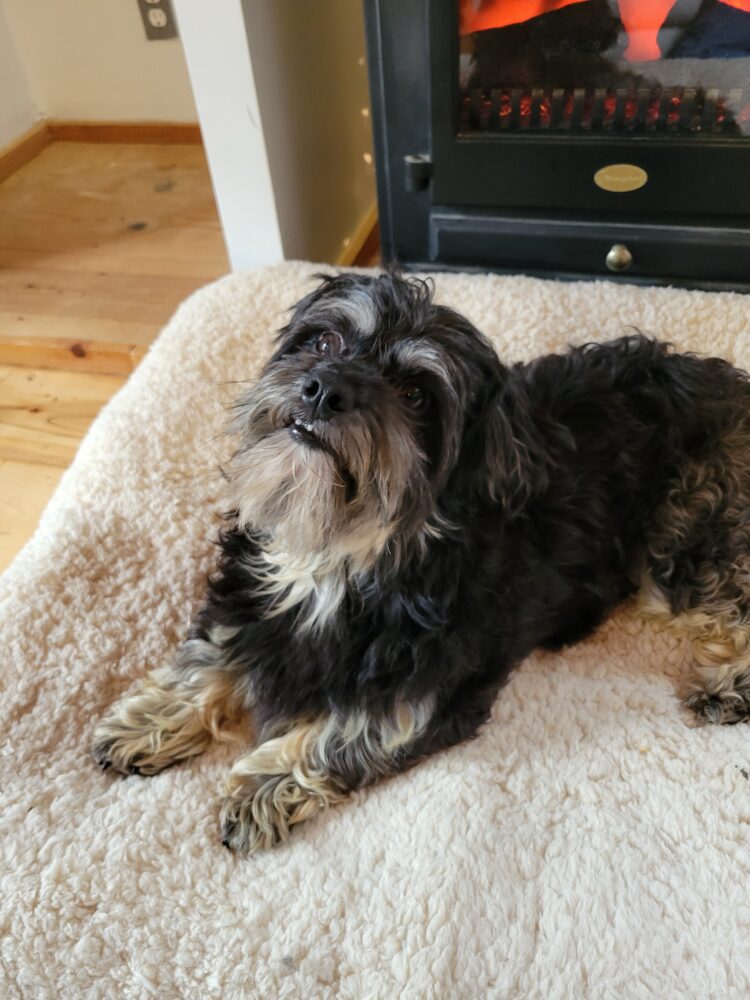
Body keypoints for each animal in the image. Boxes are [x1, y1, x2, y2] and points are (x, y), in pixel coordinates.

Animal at [92, 271, 750, 854]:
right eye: (323, 342)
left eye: (414, 395)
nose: (324, 388)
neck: (344, 556)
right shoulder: (249, 599)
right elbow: (210, 654)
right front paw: (148, 719)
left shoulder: (426, 687)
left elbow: (347, 732)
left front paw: (264, 785)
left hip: (683, 539)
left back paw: (729, 686)